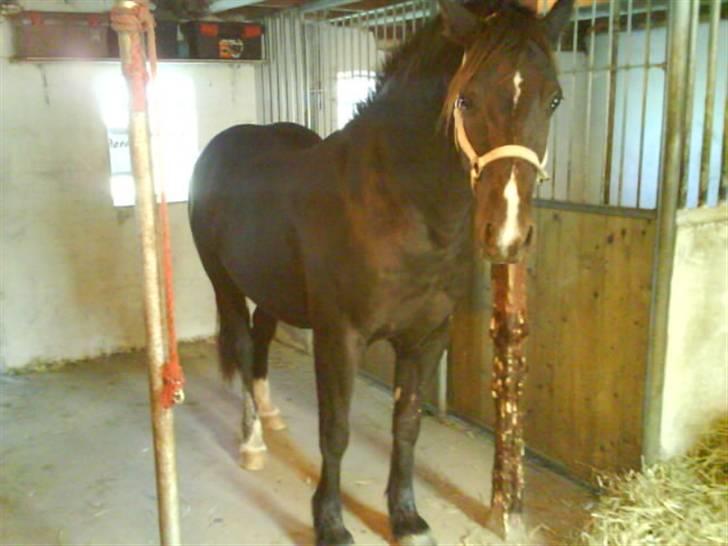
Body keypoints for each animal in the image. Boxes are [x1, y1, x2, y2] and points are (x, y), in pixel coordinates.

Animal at [189, 2, 576, 540]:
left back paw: (270, 415)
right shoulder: (340, 337)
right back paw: (253, 443)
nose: (507, 234)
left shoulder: (427, 337)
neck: (394, 205)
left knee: (262, 341)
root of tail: (222, 145)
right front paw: (330, 523)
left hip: (271, 287)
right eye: (467, 99)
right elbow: (335, 431)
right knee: (245, 347)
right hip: (222, 281)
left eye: (554, 99)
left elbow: (407, 424)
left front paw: (406, 517)